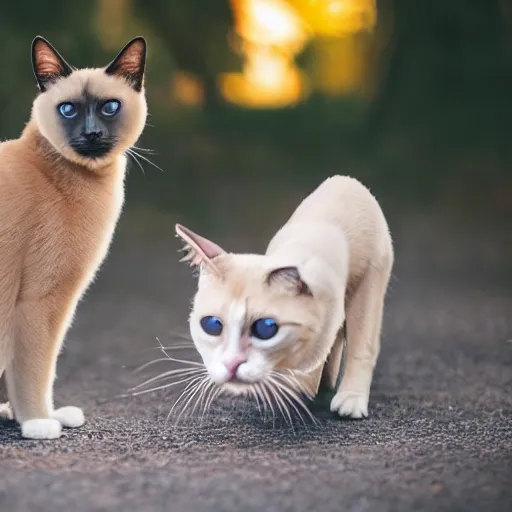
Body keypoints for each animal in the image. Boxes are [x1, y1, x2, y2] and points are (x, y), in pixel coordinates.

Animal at [0, 36, 148, 438]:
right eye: (68, 110)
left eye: (110, 107)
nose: (92, 133)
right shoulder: (39, 300)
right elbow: (36, 368)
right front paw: (37, 422)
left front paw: (34, 415)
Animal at [174, 176, 394, 420]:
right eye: (212, 325)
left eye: (266, 328)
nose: (231, 364)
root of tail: (346, 180)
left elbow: (343, 353)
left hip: (370, 280)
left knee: (360, 341)